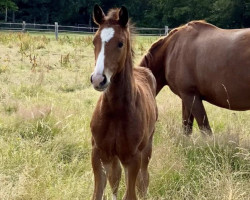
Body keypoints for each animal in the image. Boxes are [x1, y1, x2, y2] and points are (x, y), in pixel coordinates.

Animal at [90, 4, 157, 200]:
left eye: (120, 43)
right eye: (94, 41)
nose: (98, 79)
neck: (115, 111)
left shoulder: (132, 157)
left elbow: (131, 193)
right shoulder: (98, 152)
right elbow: (100, 191)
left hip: (146, 148)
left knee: (143, 179)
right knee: (115, 177)